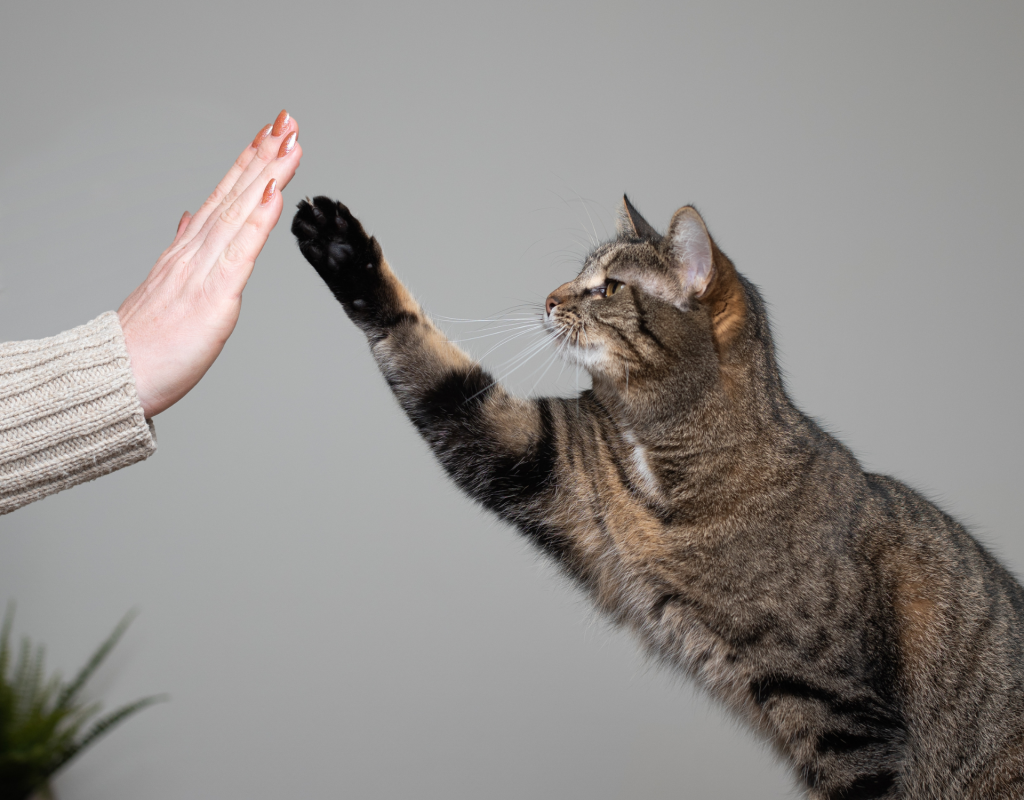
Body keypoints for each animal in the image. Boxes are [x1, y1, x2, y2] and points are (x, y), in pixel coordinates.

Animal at [290, 194, 1024, 798]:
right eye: (579, 276)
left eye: (608, 286)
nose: (549, 299)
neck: (666, 456)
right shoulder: (541, 458)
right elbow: (437, 372)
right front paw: (344, 253)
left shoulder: (844, 716)